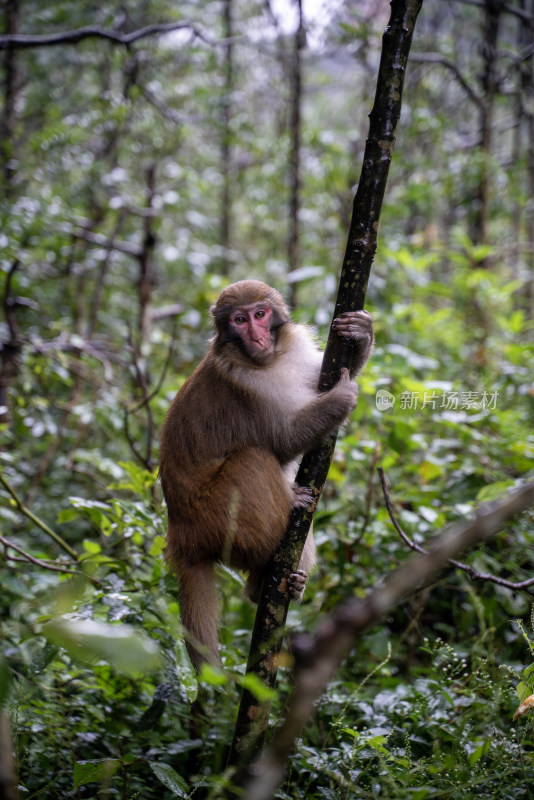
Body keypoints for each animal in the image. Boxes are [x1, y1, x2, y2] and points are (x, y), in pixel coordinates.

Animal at [161, 280, 374, 668]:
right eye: (239, 320)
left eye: (260, 314)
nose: (256, 336)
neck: (266, 361)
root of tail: (181, 536)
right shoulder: (246, 386)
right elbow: (282, 440)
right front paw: (341, 397)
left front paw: (362, 332)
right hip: (218, 514)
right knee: (253, 458)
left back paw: (264, 585)